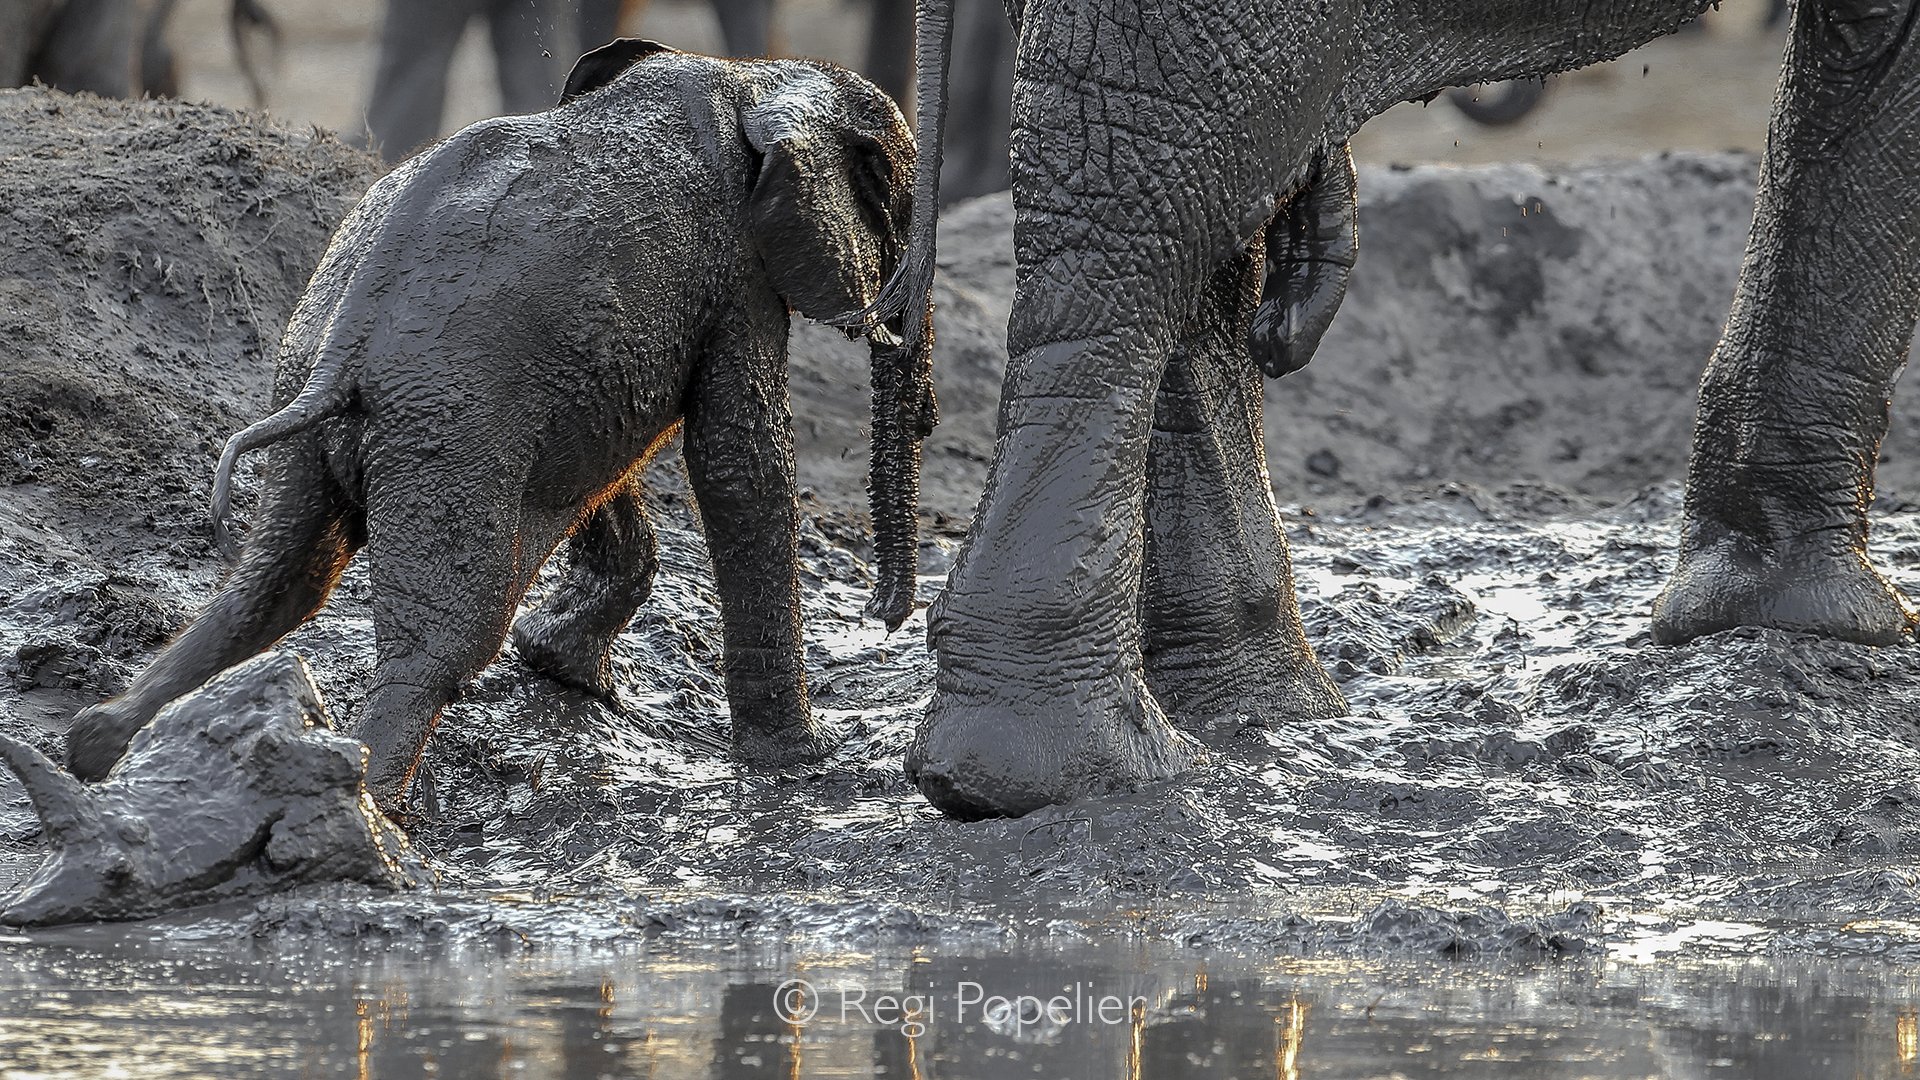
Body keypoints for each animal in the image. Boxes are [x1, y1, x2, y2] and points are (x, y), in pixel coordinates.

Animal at [64, 39, 933, 816]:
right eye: (898, 211)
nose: (884, 617)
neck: (753, 77)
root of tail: (341, 351)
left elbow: (602, 466)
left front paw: (561, 669)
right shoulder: (738, 272)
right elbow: (741, 465)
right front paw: (799, 766)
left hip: (330, 406)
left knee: (277, 581)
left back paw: (102, 752)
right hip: (448, 431)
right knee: (441, 641)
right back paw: (372, 817)